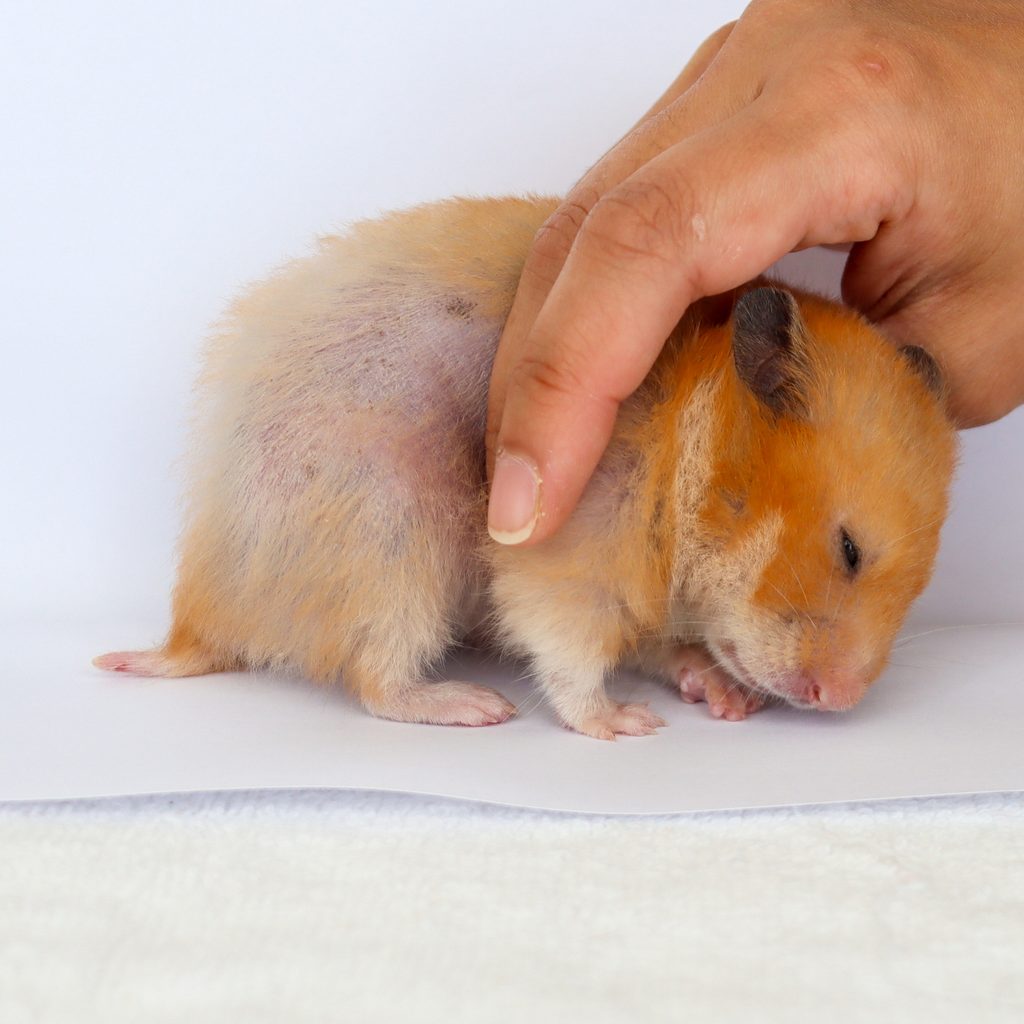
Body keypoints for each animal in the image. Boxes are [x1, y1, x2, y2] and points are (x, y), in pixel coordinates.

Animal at [95, 195, 958, 739]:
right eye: (849, 549)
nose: (841, 701)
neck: (693, 456)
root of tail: (197, 620)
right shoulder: (567, 563)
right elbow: (571, 660)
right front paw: (626, 725)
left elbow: (666, 647)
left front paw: (723, 697)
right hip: (393, 538)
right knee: (377, 681)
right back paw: (473, 707)